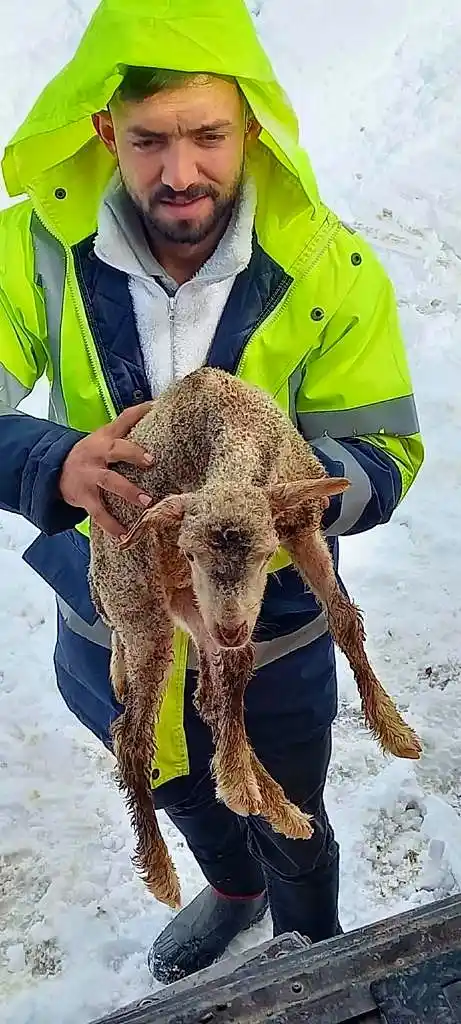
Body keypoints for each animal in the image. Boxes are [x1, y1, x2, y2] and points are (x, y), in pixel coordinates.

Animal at [88, 364, 424, 909]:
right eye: (192, 552)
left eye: (267, 555)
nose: (229, 626)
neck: (230, 432)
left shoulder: (300, 525)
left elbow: (343, 619)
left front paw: (395, 732)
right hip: (143, 606)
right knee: (133, 737)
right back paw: (166, 865)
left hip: (187, 607)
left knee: (214, 689)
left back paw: (273, 804)